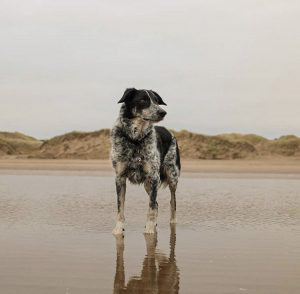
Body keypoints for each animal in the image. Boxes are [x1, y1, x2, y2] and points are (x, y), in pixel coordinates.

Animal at [110, 88, 179, 234]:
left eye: (157, 101)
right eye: (143, 100)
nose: (162, 112)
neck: (135, 139)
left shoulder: (153, 176)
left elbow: (151, 206)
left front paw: (150, 229)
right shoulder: (120, 177)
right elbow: (120, 206)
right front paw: (118, 228)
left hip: (171, 176)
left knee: (172, 201)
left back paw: (172, 222)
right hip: (149, 184)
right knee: (157, 203)